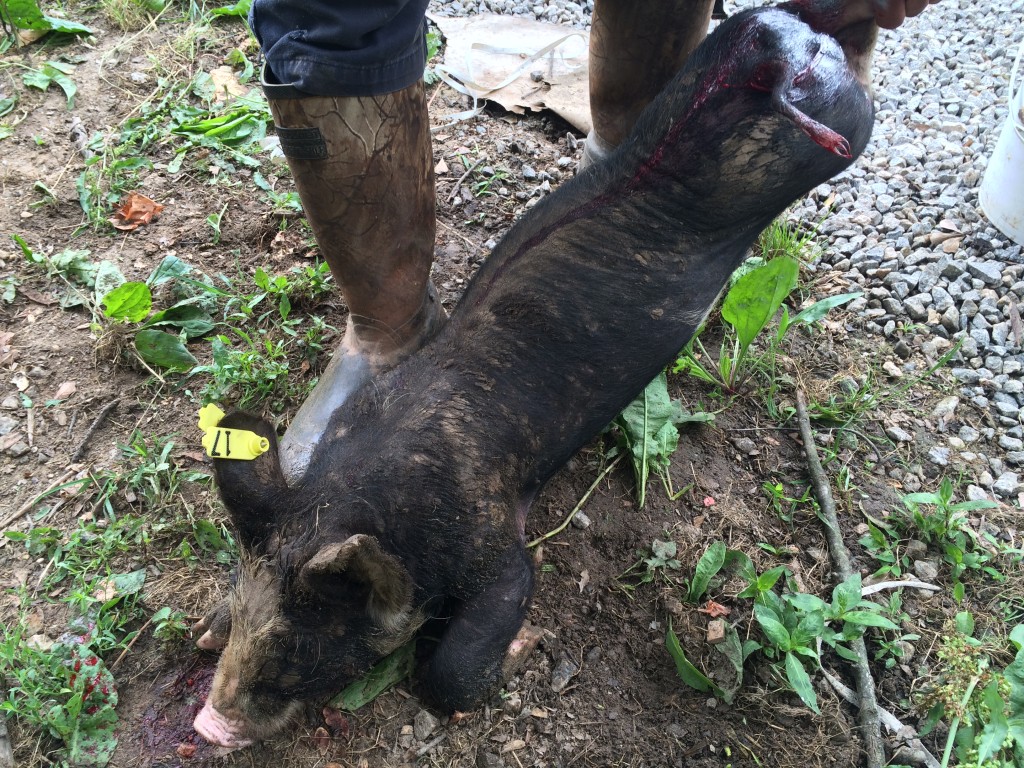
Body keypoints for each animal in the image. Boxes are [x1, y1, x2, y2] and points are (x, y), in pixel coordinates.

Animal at [195, 3, 876, 749]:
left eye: (301, 653)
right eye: (246, 620)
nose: (209, 723)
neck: (365, 494)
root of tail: (774, 50)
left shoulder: (496, 541)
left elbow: (457, 663)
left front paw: (523, 648)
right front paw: (204, 631)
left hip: (850, 123)